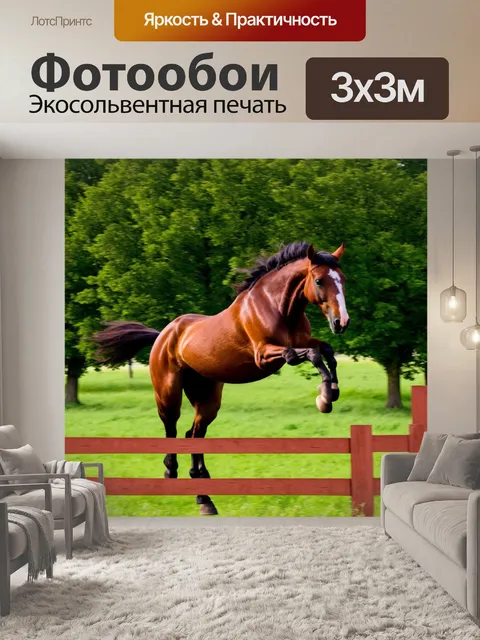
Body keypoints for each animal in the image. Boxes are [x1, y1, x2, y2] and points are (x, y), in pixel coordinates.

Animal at [92, 241, 350, 515]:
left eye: (342, 279)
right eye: (319, 280)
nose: (341, 322)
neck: (278, 307)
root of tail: (163, 333)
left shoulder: (304, 342)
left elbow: (327, 351)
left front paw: (331, 392)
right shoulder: (265, 355)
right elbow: (308, 355)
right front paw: (324, 398)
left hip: (207, 398)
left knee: (194, 435)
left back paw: (204, 497)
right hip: (168, 393)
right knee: (171, 427)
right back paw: (171, 474)